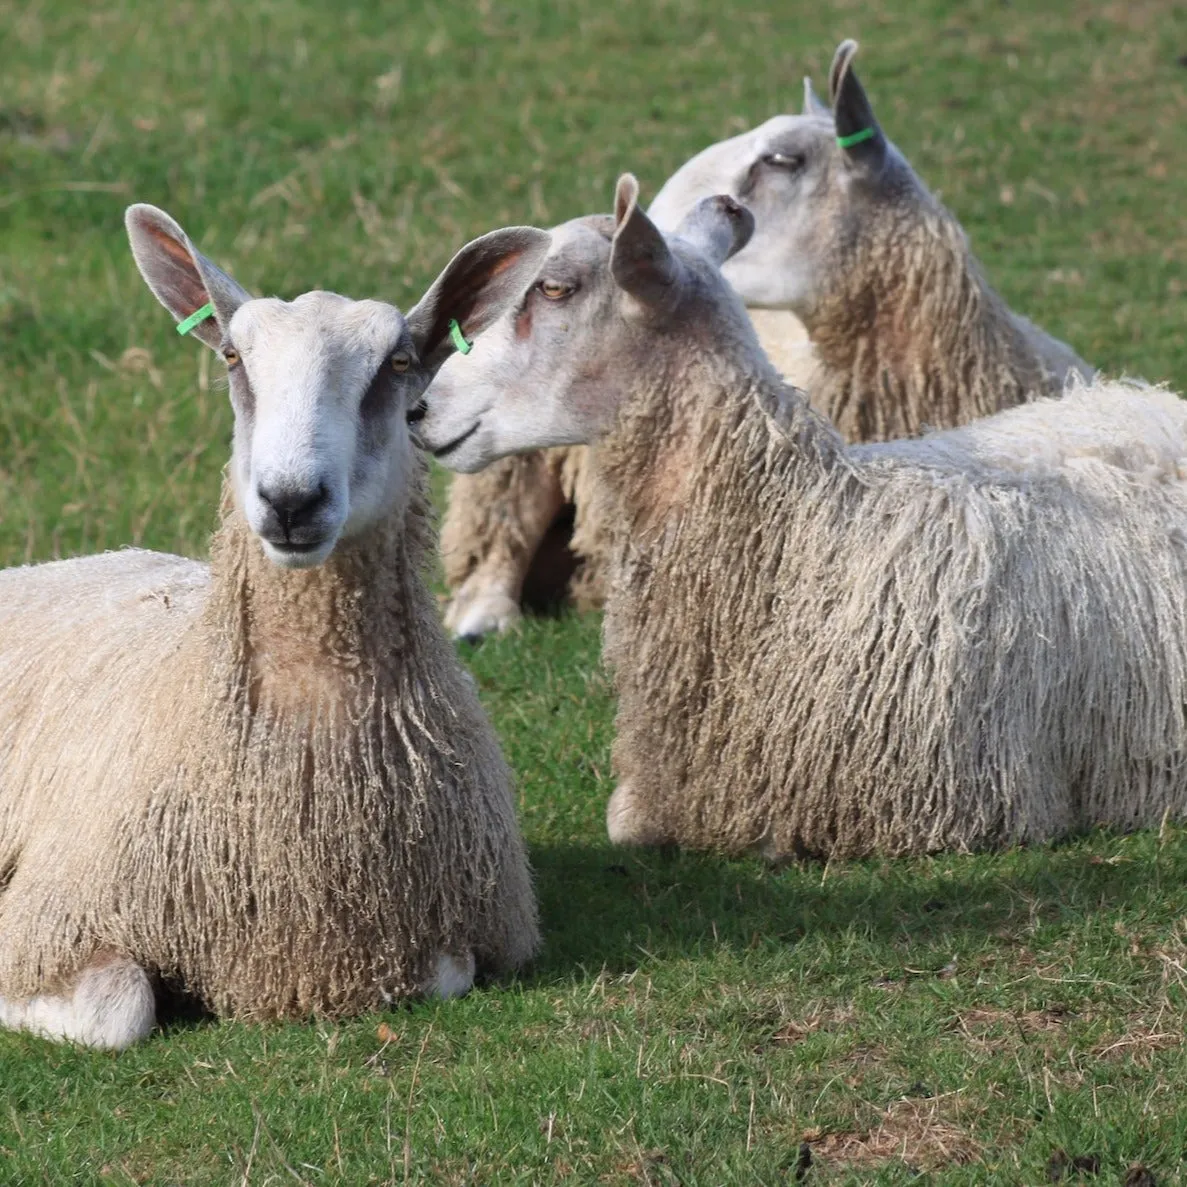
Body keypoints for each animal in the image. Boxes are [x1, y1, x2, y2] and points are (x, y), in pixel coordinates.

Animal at [0, 204, 546, 1049]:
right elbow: (118, 1009)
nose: (291, 499)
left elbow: (445, 971)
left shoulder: (444, 933)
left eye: (397, 363)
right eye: (232, 356)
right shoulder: (48, 920)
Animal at [413, 175, 1187, 859]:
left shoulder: (946, 803)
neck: (802, 535)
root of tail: (1154, 400)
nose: (420, 408)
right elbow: (625, 828)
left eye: (554, 288)